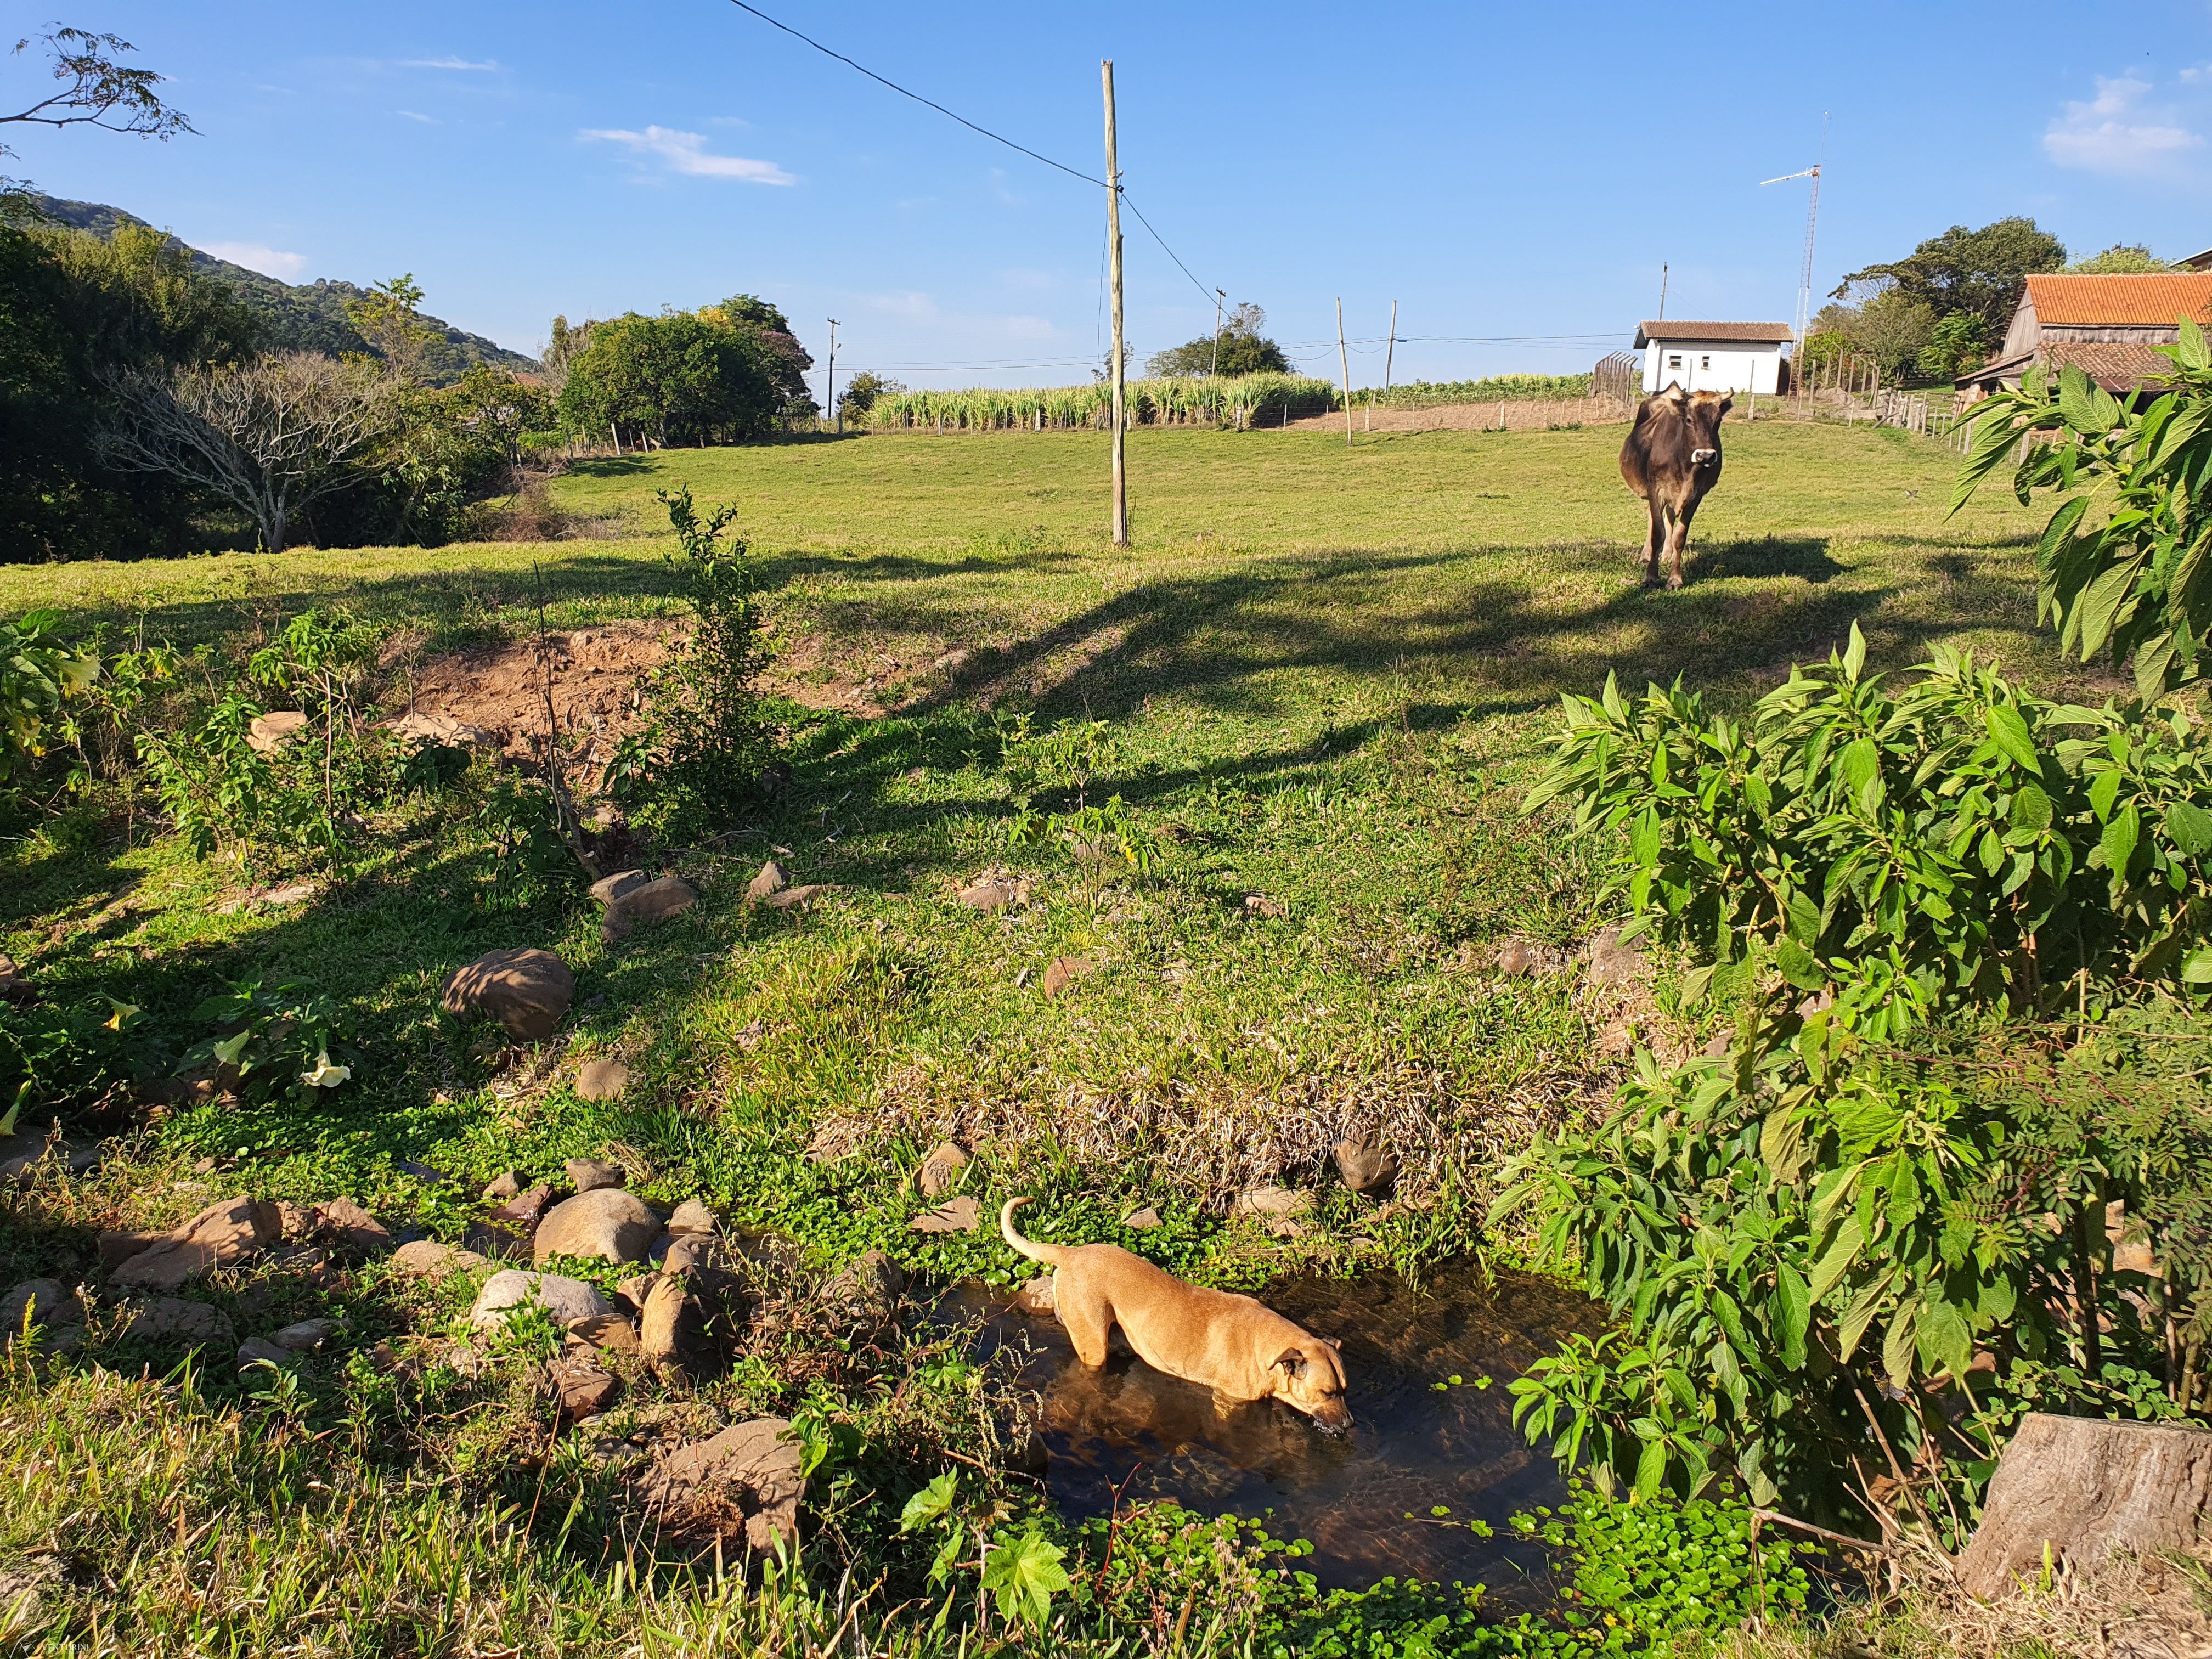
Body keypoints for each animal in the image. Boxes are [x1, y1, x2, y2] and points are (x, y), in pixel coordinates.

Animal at [1000, 1203, 1345, 1433]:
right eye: (1326, 1393)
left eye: (1345, 1390)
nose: (1350, 1424)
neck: (1267, 1347)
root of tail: (1070, 1253)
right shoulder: (1227, 1402)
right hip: (1093, 1346)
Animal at [1628, 387, 1725, 592]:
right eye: (1689, 420)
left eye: (1718, 421)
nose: (1706, 456)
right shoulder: (1656, 491)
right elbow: (1657, 534)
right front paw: (1650, 578)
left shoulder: (1696, 495)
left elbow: (1679, 536)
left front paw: (1675, 579)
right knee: (1653, 519)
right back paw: (1647, 555)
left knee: (1670, 517)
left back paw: (1666, 554)